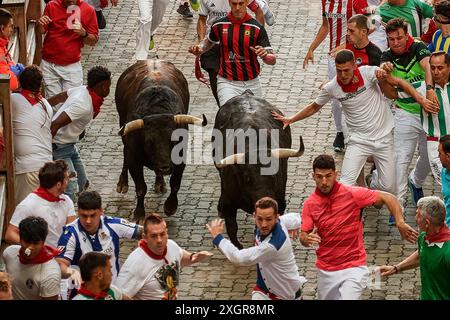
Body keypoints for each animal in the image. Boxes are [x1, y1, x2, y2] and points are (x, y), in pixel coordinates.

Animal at [116, 60, 207, 220]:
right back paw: (123, 182)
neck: (157, 110)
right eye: (148, 142)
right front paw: (139, 213)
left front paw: (170, 206)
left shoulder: (180, 157)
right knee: (125, 154)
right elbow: (140, 187)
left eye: (175, 140)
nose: (165, 168)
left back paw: (160, 183)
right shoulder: (134, 158)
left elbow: (175, 183)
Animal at [213, 91, 304, 249]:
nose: (266, 198)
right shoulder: (229, 203)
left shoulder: (280, 203)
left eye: (274, 176)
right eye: (247, 178)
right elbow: (232, 229)